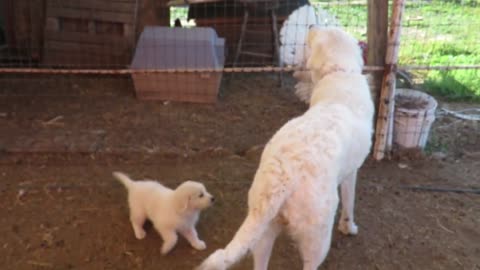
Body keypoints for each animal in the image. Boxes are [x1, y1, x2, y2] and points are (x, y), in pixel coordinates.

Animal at [196, 26, 376, 270]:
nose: (310, 27)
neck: (339, 72)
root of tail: (280, 179)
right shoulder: (352, 173)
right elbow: (350, 203)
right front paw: (349, 228)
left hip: (263, 232)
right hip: (317, 238)